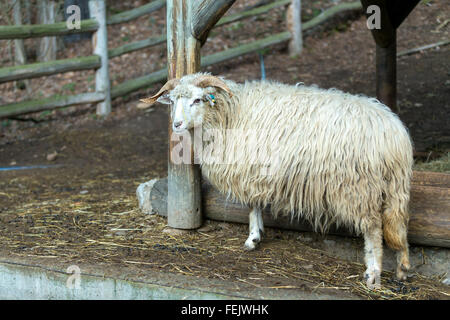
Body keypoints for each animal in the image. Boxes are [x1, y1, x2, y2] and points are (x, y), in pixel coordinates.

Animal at [141, 73, 414, 290]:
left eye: (197, 100)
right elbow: (256, 204)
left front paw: (252, 238)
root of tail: (393, 134)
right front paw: (257, 235)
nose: (177, 124)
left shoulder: (249, 167)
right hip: (394, 188)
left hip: (359, 187)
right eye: (173, 101)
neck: (230, 113)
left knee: (373, 229)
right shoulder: (256, 171)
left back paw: (373, 274)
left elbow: (251, 205)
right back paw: (402, 269)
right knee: (398, 226)